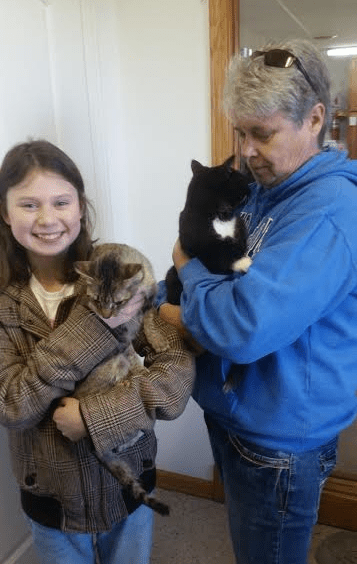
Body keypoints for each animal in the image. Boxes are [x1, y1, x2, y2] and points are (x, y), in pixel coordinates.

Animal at [73, 242, 169, 516]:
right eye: (97, 300)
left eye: (119, 302)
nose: (105, 315)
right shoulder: (119, 336)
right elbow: (130, 352)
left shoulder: (148, 295)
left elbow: (150, 314)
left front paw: (156, 335)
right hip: (109, 368)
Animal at [164, 154, 250, 306]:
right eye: (241, 178)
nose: (250, 189)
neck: (218, 216)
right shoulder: (200, 246)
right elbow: (221, 255)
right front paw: (244, 262)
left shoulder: (239, 227)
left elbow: (238, 243)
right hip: (172, 275)